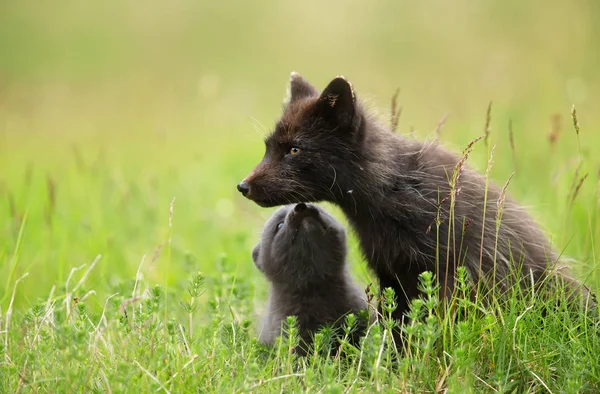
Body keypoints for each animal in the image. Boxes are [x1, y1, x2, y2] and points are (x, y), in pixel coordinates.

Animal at [237, 72, 588, 322]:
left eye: (295, 149)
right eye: (268, 147)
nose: (243, 187)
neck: (396, 189)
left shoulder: (451, 272)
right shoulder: (392, 274)